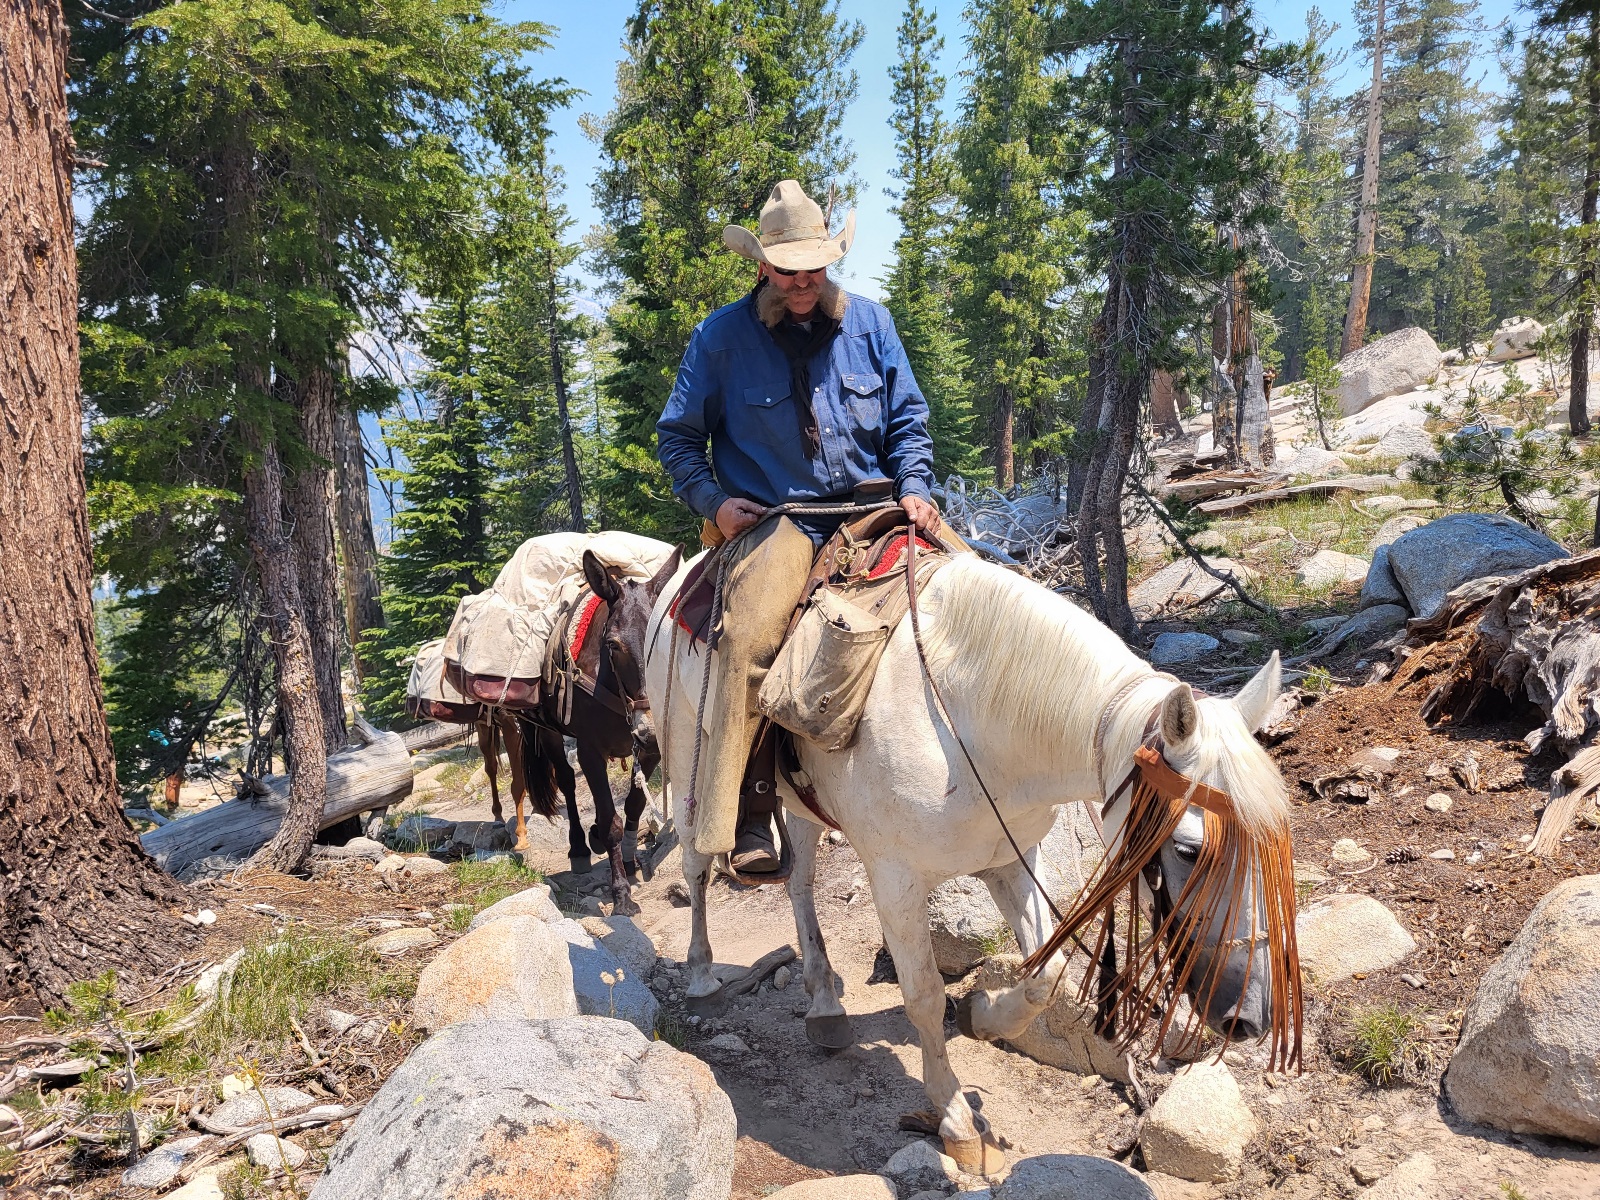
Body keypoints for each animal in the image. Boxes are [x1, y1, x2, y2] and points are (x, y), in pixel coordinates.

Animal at [513, 548, 683, 916]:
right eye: (614, 645)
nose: (650, 728)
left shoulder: (648, 750)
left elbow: (633, 806)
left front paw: (631, 863)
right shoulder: (591, 751)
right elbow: (610, 821)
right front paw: (621, 895)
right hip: (549, 733)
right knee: (566, 781)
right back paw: (579, 847)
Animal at [635, 547, 1300, 1175]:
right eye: (1188, 849)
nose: (1251, 1016)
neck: (969, 721)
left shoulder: (1011, 858)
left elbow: (1046, 972)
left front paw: (983, 1014)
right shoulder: (896, 880)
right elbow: (925, 995)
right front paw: (956, 1121)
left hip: (797, 798)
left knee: (799, 881)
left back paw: (825, 1005)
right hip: (688, 761)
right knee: (697, 868)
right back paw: (701, 975)